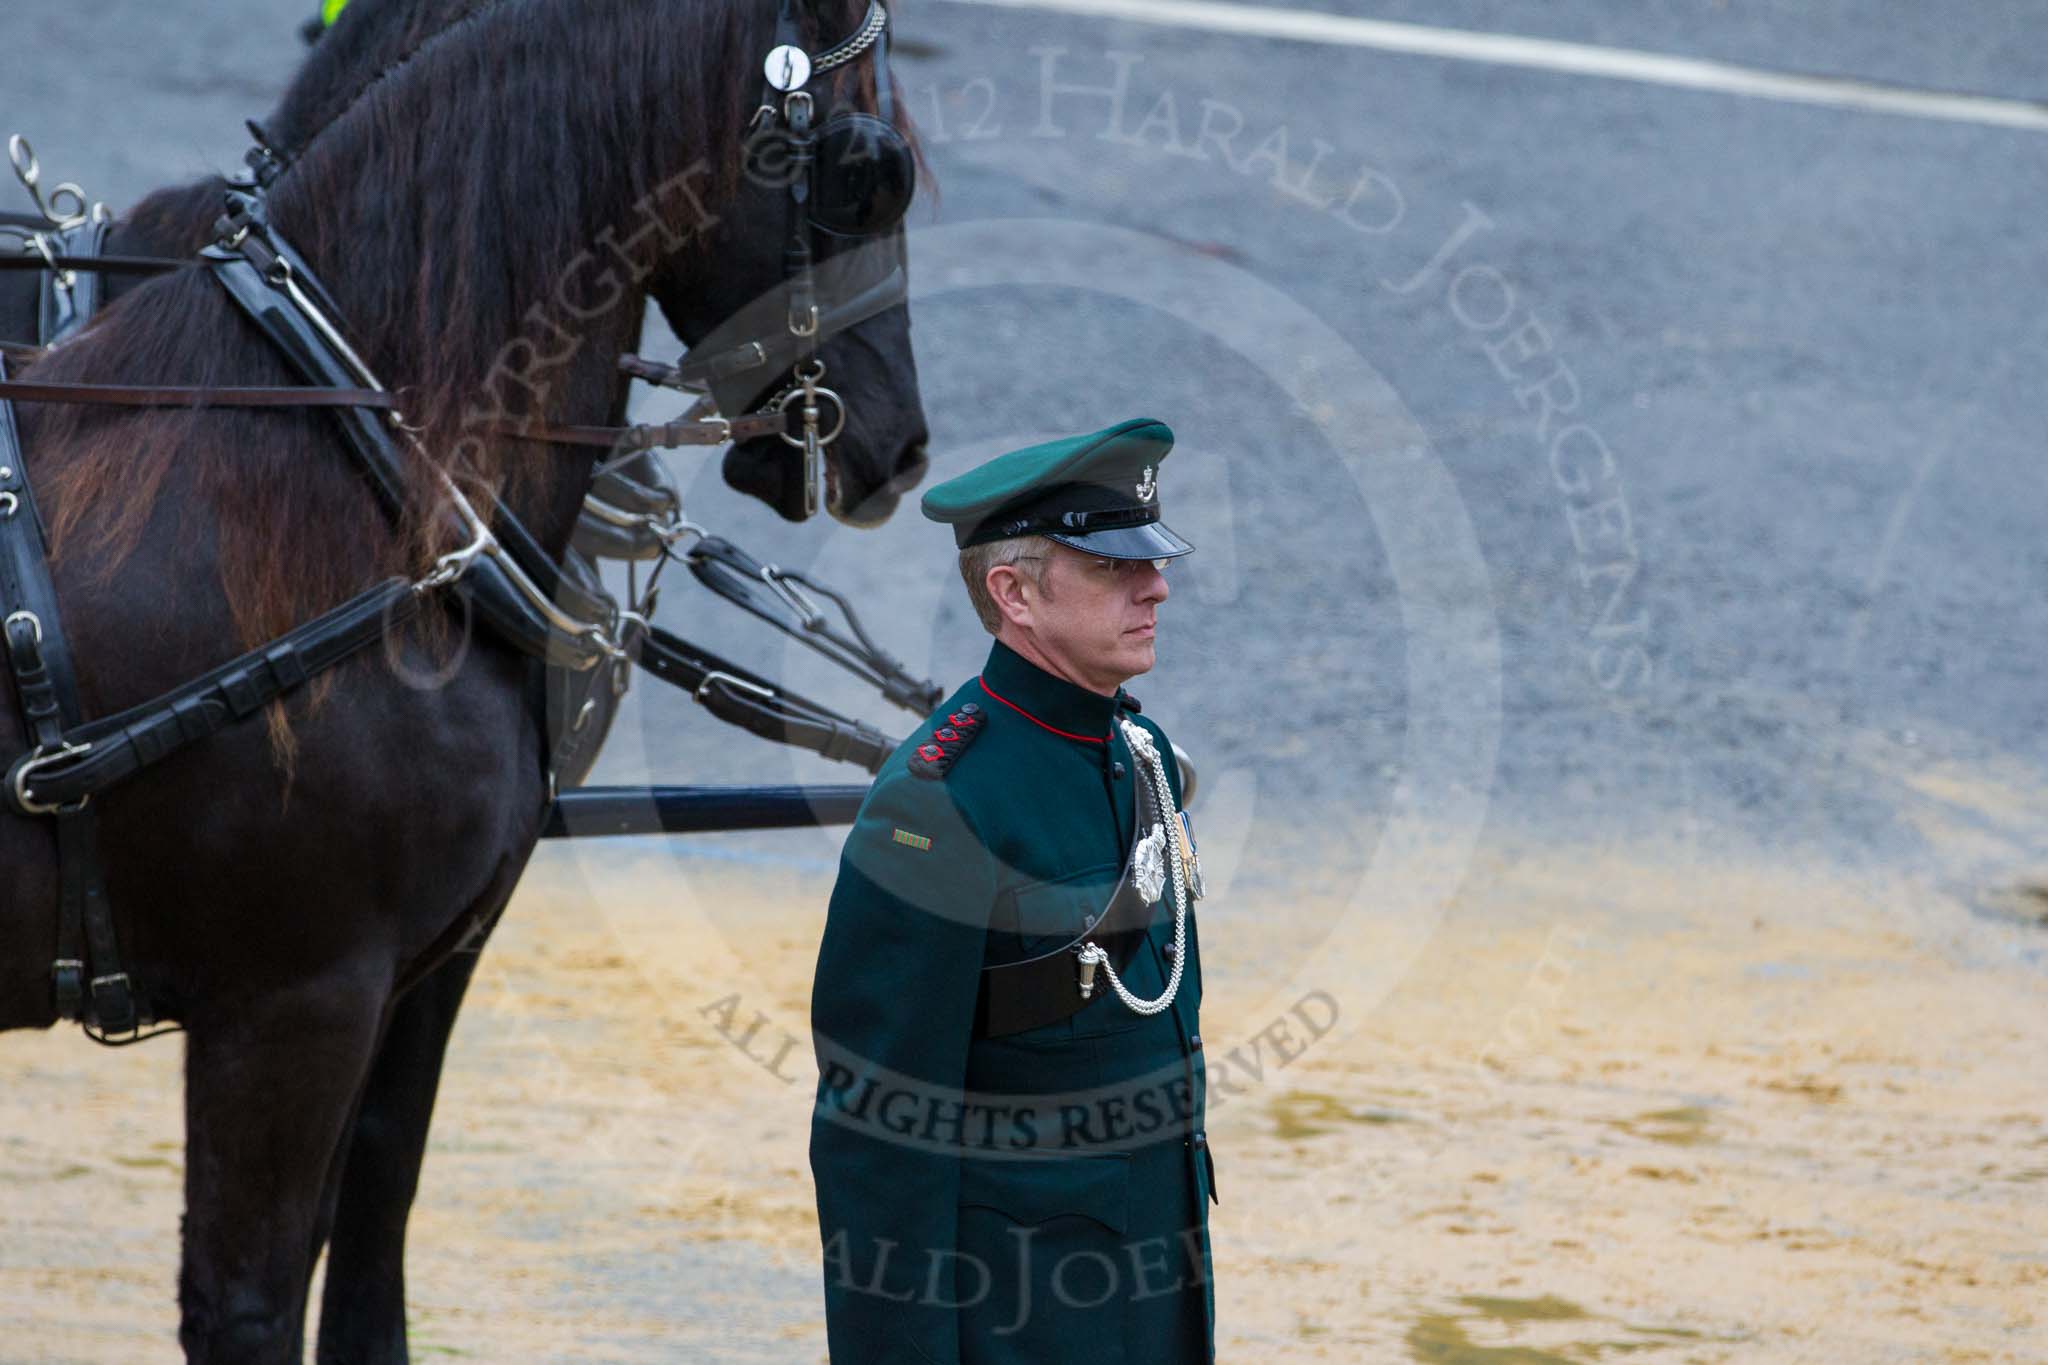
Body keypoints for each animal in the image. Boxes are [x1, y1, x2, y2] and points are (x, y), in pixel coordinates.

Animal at [0, 0, 929, 1358]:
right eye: (873, 173)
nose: (900, 447)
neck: (361, 475)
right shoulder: (296, 1000)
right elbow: (257, 1293)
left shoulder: (419, 952)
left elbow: (373, 1198)